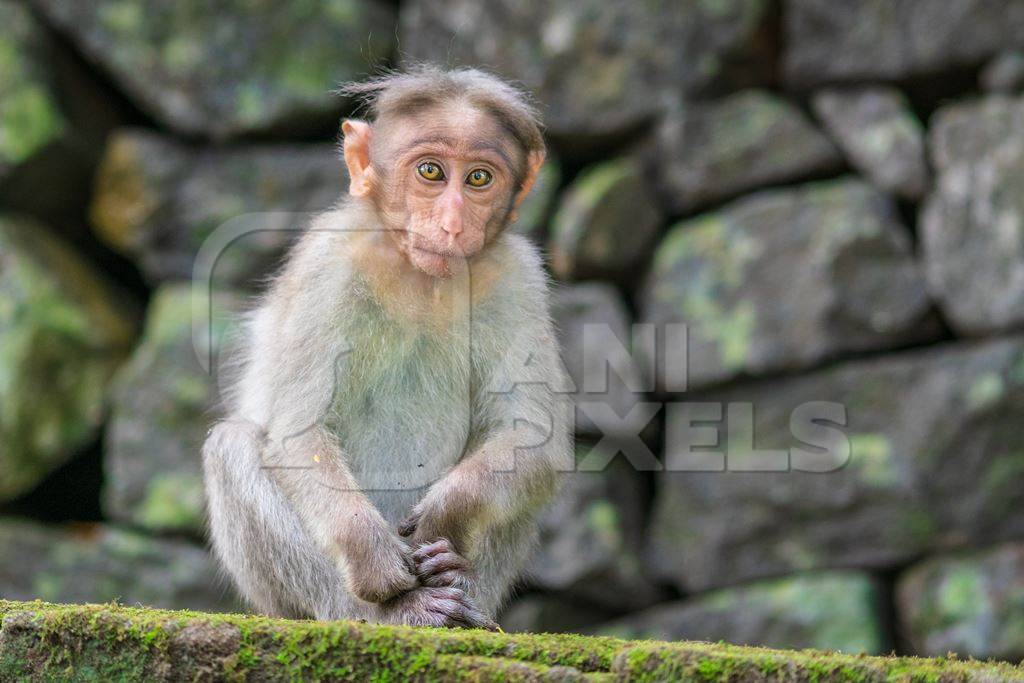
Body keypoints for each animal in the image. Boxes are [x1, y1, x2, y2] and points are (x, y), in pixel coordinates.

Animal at [203, 66, 573, 626]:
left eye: (479, 179)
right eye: (431, 172)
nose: (452, 224)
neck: (418, 275)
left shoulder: (518, 275)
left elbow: (531, 436)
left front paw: (445, 519)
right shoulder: (327, 260)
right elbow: (299, 434)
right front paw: (375, 562)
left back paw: (461, 590)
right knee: (233, 446)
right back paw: (396, 612)